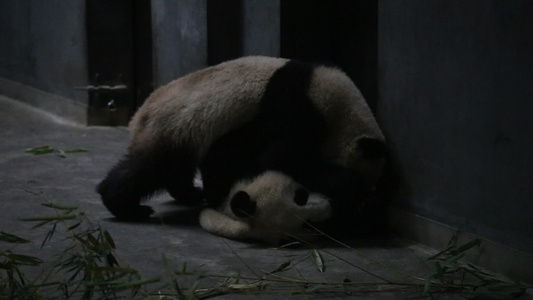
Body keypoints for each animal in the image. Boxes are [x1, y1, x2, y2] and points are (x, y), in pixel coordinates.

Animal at [97, 56, 384, 237]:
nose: (368, 200)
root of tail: (139, 115)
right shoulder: (298, 111)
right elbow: (279, 158)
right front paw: (349, 185)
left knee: (177, 169)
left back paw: (190, 193)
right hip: (174, 126)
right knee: (152, 167)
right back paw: (125, 205)